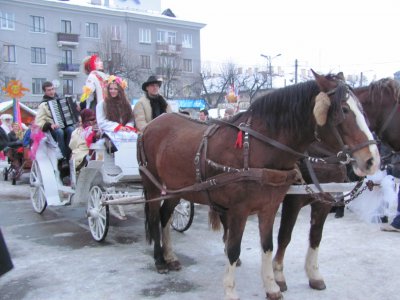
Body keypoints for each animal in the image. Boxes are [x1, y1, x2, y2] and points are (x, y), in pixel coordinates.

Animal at [139, 71, 380, 300]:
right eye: (344, 109)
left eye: (363, 109)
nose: (372, 160)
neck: (256, 148)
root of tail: (150, 126)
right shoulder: (240, 210)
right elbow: (235, 248)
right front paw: (230, 290)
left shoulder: (270, 207)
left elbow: (269, 245)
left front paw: (272, 286)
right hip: (153, 186)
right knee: (154, 216)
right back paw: (160, 260)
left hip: (175, 189)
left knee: (165, 216)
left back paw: (170, 256)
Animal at [274, 77, 400, 292]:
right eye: (345, 111)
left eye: (363, 113)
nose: (372, 161)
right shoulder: (293, 199)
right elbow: (284, 236)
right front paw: (278, 278)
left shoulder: (325, 199)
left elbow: (316, 236)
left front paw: (314, 274)